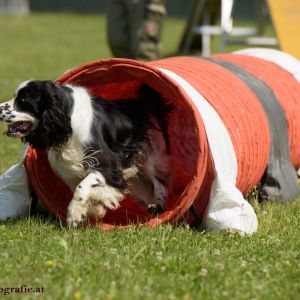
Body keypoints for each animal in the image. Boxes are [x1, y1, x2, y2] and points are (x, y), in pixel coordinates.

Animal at [0, 79, 173, 225]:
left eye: (23, 101)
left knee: (159, 183)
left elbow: (82, 187)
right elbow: (92, 189)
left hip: (150, 160)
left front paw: (74, 215)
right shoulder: (71, 170)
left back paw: (156, 205)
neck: (67, 118)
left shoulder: (106, 164)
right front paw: (98, 208)